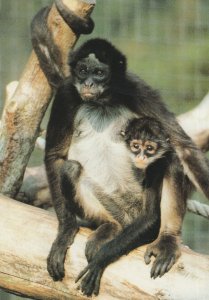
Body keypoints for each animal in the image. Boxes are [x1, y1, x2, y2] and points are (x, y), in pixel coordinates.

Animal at [31, 2, 209, 296]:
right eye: (83, 70)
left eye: (99, 73)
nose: (88, 83)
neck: (103, 101)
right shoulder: (68, 91)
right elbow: (56, 156)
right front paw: (64, 231)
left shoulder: (134, 87)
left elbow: (182, 146)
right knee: (70, 168)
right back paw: (109, 227)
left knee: (171, 160)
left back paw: (167, 239)